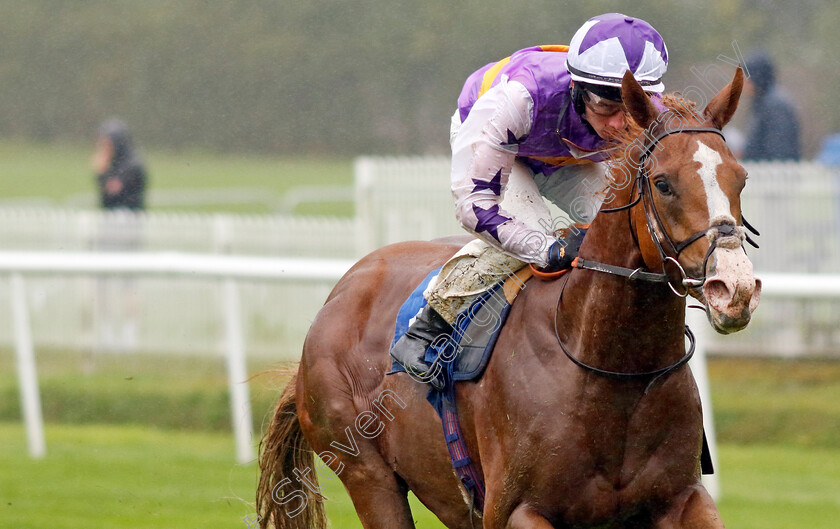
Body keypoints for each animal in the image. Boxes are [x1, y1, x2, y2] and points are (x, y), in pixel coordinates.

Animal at [256, 67, 760, 528]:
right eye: (663, 183)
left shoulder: (684, 499)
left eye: (741, 178)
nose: (733, 287)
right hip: (367, 474)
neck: (612, 372)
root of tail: (339, 293)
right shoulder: (516, 509)